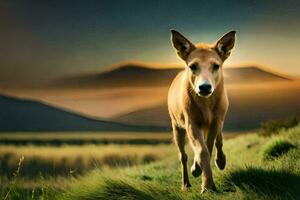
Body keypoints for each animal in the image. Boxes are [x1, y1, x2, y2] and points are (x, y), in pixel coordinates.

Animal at [168, 29, 236, 192]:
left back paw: (220, 161)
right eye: (193, 66)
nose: (204, 87)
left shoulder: (215, 122)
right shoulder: (191, 122)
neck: (205, 105)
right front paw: (206, 184)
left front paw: (205, 178)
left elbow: (209, 146)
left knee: (218, 139)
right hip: (177, 126)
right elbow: (202, 150)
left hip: (218, 119)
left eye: (216, 66)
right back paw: (186, 184)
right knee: (183, 156)